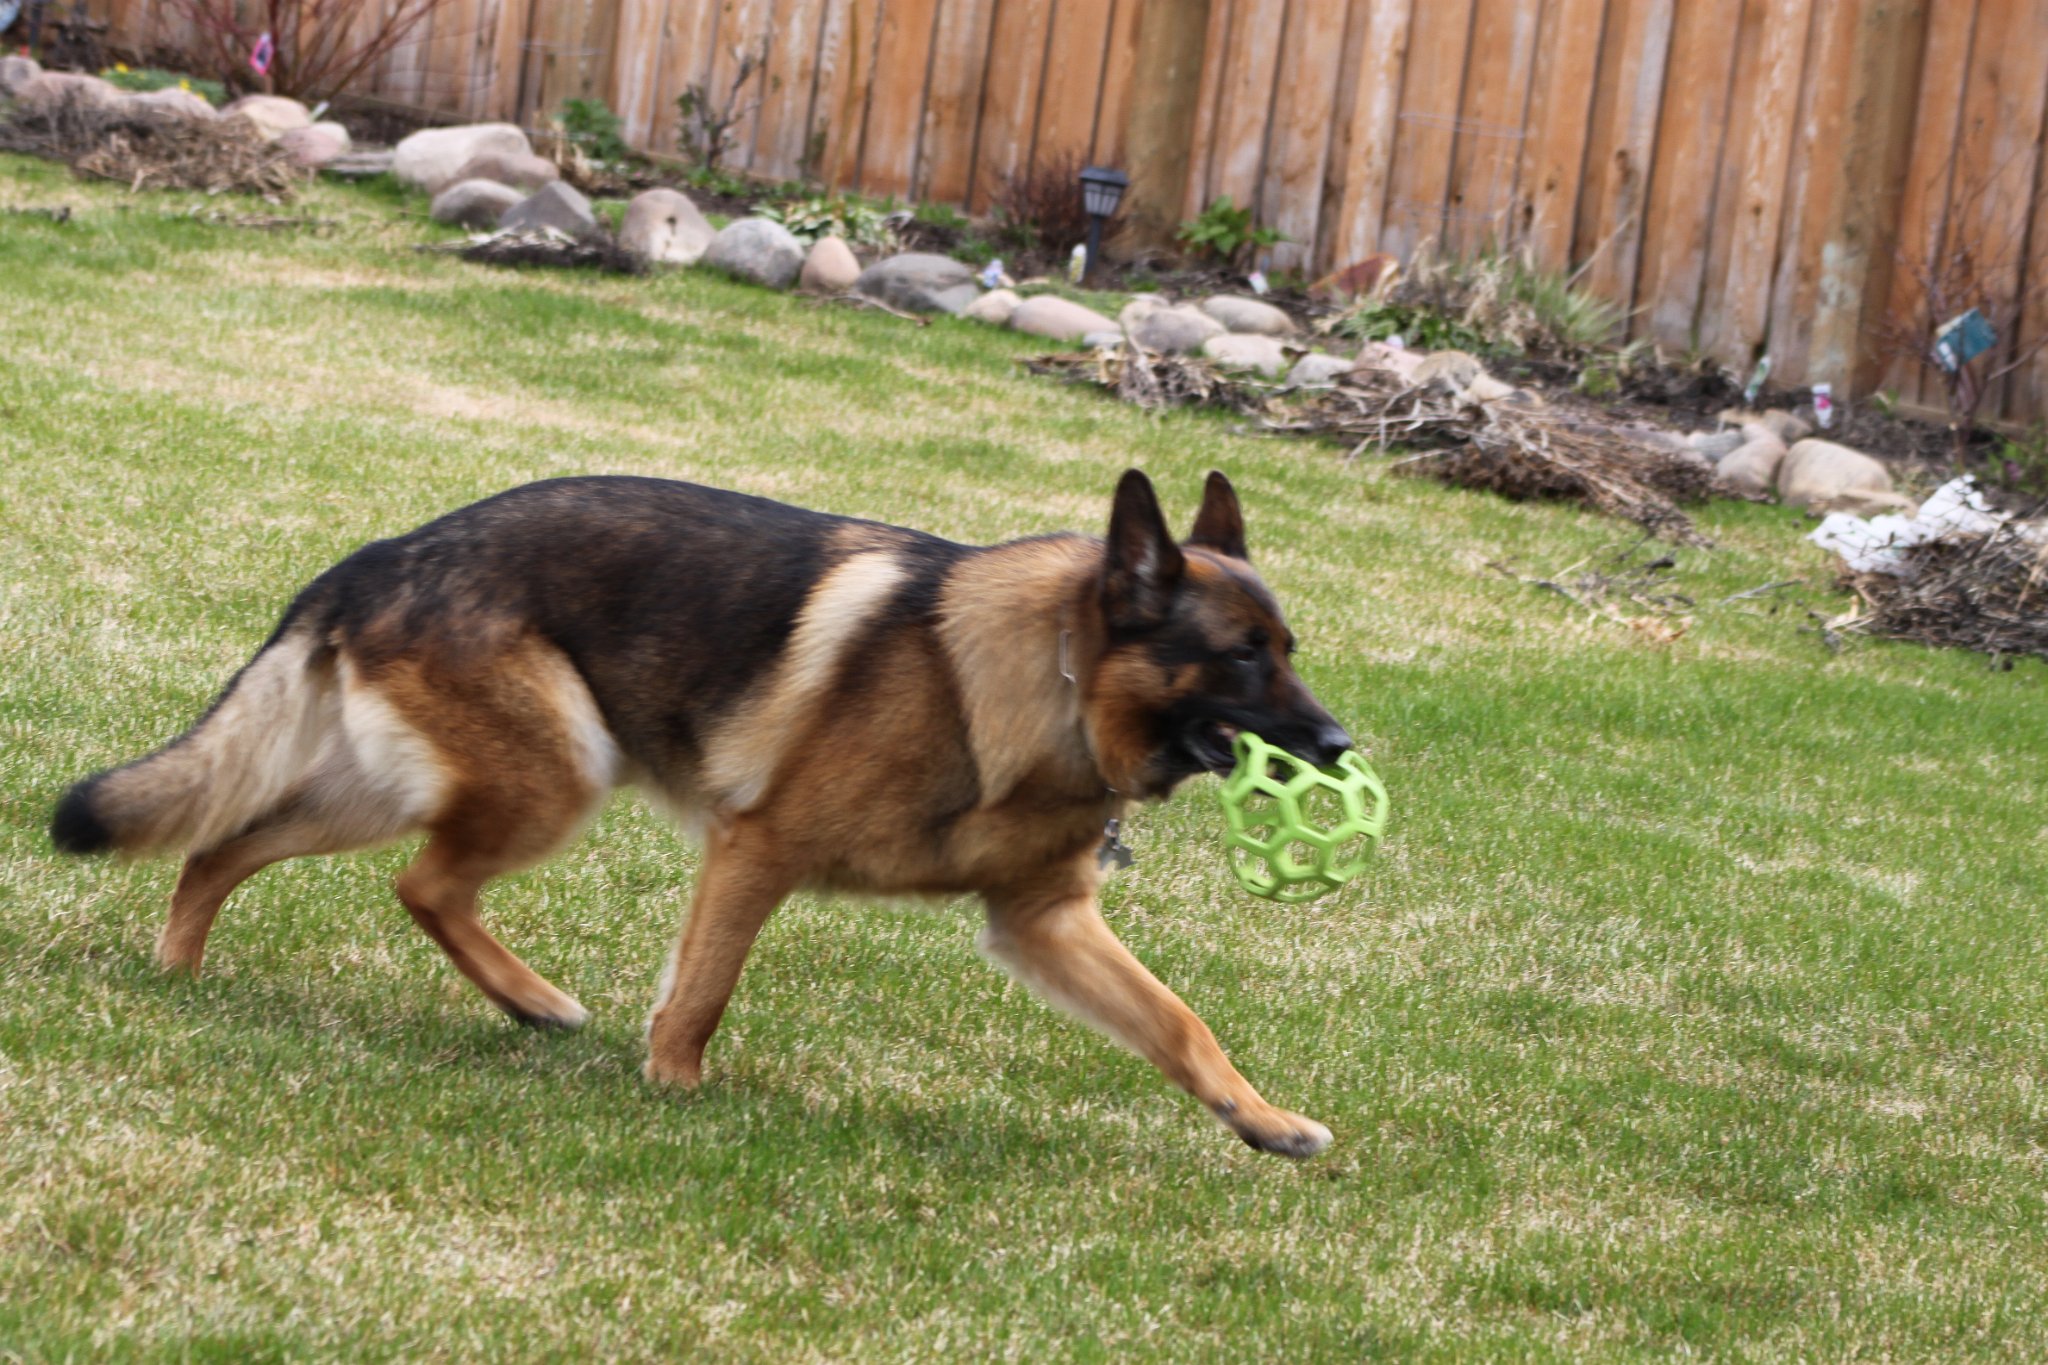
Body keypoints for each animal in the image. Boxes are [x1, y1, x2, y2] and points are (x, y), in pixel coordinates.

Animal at [51, 469, 1354, 1156]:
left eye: (1289, 648)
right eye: (1243, 657)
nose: (1343, 746)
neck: (1054, 684)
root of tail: (386, 551)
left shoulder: (1043, 923)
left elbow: (1178, 1022)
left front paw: (1263, 1121)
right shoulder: (755, 850)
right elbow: (706, 990)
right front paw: (673, 1092)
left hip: (386, 786)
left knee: (229, 840)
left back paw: (182, 966)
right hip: (553, 777)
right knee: (421, 882)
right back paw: (530, 1000)